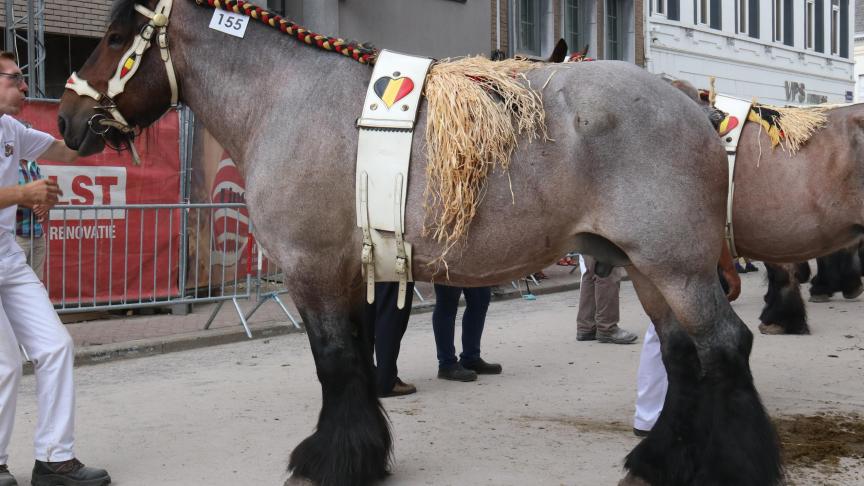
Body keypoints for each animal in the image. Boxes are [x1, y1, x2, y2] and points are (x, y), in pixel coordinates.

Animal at [57, 0, 792, 486]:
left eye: (116, 36)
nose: (67, 119)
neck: (289, 101)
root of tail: (692, 104)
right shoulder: (351, 273)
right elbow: (356, 360)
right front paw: (361, 453)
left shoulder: (312, 269)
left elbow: (334, 363)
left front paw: (329, 461)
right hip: (648, 268)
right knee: (684, 356)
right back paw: (659, 459)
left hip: (675, 266)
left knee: (723, 347)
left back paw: (736, 463)